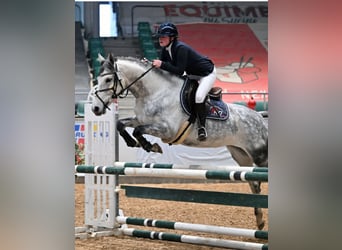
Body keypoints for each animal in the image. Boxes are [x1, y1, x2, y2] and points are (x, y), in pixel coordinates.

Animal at [89, 53, 268, 229]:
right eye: (98, 79)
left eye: (108, 79)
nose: (95, 109)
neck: (154, 92)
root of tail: (259, 117)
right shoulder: (140, 120)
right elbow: (121, 124)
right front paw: (135, 143)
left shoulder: (167, 129)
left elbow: (138, 131)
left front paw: (151, 146)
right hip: (241, 155)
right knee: (254, 183)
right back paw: (259, 220)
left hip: (259, 155)